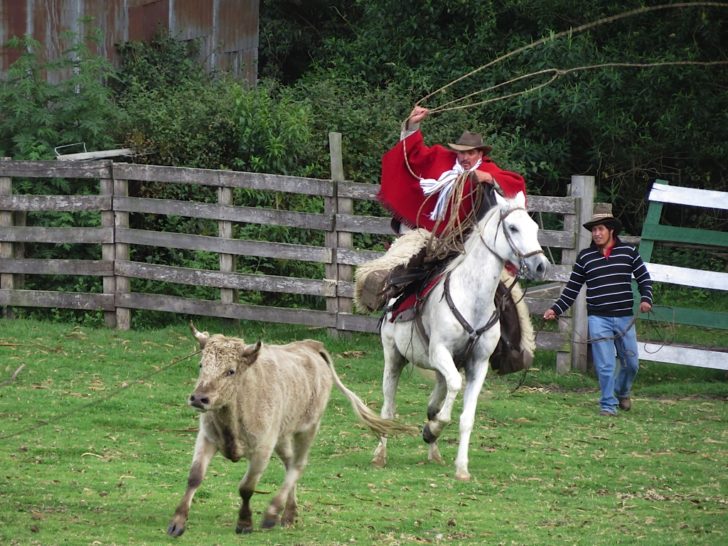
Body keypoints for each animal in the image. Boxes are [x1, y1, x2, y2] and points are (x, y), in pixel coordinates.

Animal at [372, 189, 548, 478]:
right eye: (513, 227)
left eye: (534, 228)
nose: (541, 266)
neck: (472, 298)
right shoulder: (440, 351)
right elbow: (453, 390)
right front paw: (434, 429)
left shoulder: (478, 363)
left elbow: (466, 417)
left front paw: (461, 466)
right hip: (393, 356)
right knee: (389, 406)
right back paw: (380, 454)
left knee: (435, 398)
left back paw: (434, 452)